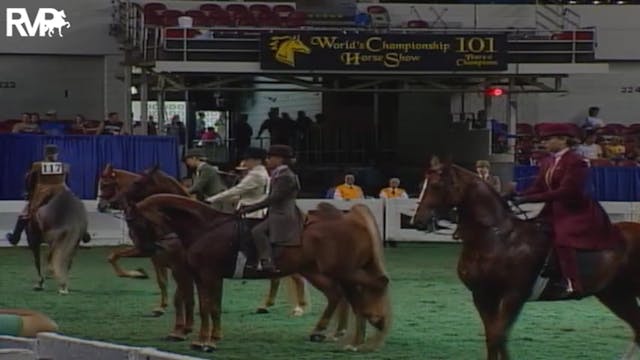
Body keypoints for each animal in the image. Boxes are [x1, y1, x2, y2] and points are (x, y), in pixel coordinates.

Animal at [97, 164, 195, 340]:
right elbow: (162, 281)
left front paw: (138, 273)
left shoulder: (145, 250)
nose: (101, 206)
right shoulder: (155, 255)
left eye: (106, 184)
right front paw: (160, 306)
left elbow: (113, 257)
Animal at [128, 195, 392, 352]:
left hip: (343, 270)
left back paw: (363, 336)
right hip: (316, 271)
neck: (206, 228)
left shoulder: (208, 275)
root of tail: (350, 221)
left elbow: (207, 308)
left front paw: (205, 342)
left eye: (136, 222)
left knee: (369, 289)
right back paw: (327, 332)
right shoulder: (206, 277)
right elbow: (209, 307)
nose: (149, 250)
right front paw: (207, 339)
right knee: (340, 295)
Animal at [412, 162, 640, 360]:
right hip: (615, 293)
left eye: (436, 185)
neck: (496, 238)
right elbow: (493, 339)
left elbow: (498, 337)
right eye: (422, 185)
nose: (418, 221)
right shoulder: (482, 296)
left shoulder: (513, 296)